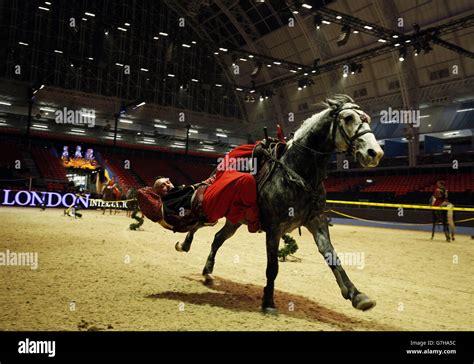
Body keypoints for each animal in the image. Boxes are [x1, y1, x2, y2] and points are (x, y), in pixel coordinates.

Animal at [176, 95, 384, 314]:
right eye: (348, 117)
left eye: (367, 118)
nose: (374, 153)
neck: (297, 173)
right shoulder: (274, 228)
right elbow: (272, 267)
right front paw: (268, 301)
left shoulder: (316, 221)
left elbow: (331, 255)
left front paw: (357, 295)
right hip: (216, 207)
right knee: (198, 221)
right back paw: (185, 245)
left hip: (235, 220)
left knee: (217, 238)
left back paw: (208, 272)